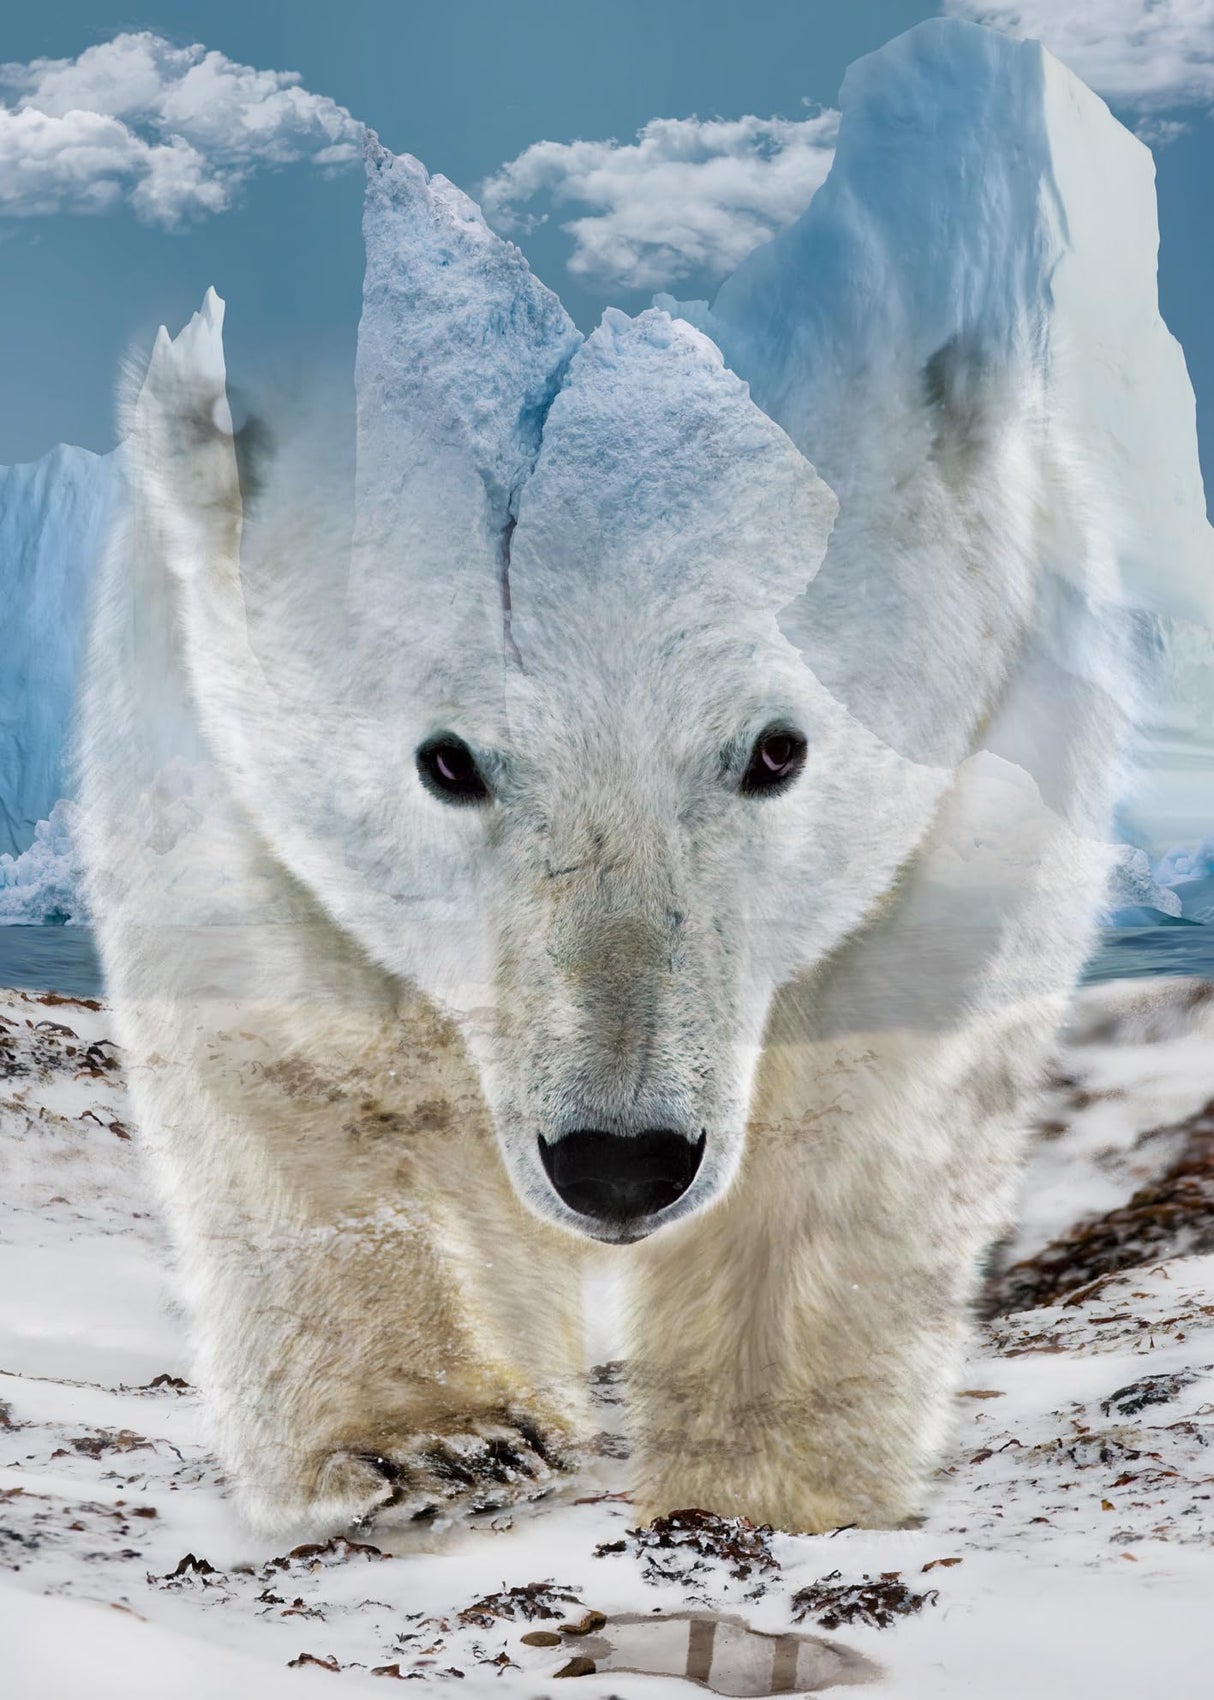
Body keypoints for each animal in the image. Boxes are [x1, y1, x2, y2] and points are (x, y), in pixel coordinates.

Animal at [77, 139, 1130, 1540]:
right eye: (448, 758)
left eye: (774, 748)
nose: (619, 1165)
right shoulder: (199, 735)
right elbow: (313, 1070)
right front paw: (435, 1436)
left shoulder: (989, 768)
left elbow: (863, 1106)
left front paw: (772, 1466)